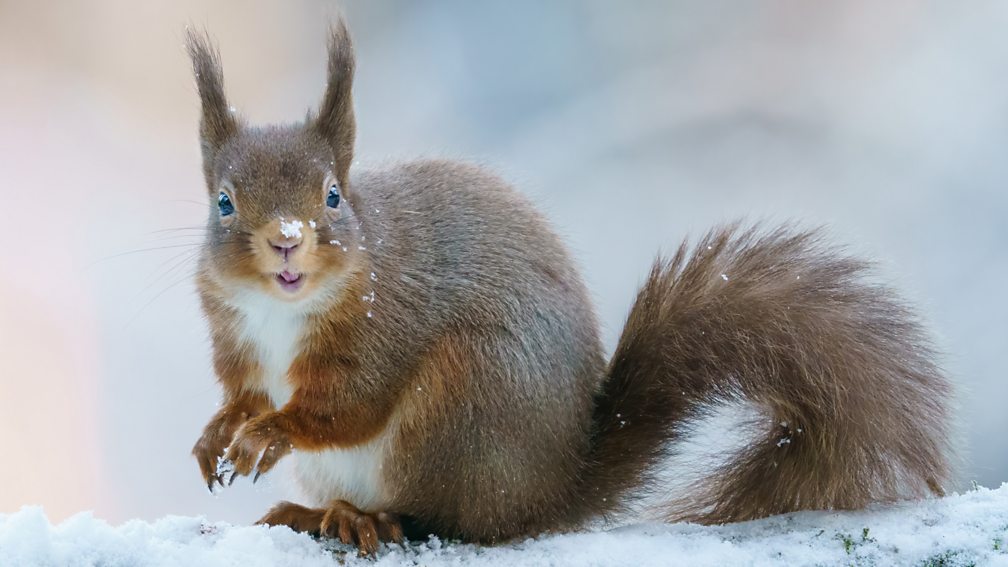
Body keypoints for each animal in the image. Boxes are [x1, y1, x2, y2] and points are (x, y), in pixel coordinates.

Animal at [186, 20, 952, 555]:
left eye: (334, 196)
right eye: (223, 202)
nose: (286, 239)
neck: (280, 311)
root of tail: (552, 492)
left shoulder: (386, 323)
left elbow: (347, 405)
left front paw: (268, 434)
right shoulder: (233, 337)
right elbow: (245, 394)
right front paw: (219, 431)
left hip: (462, 402)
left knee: (449, 518)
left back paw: (368, 518)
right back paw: (316, 512)